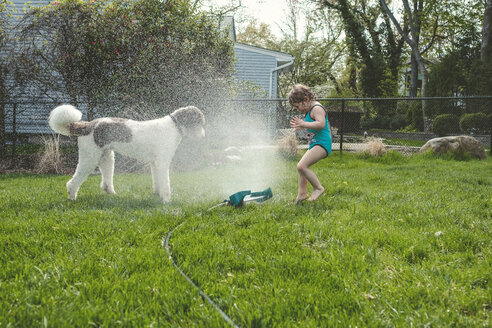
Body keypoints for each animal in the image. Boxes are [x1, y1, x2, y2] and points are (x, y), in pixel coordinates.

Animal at [48, 105, 206, 202]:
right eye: (199, 122)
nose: (203, 136)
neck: (174, 126)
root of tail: (87, 125)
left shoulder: (155, 164)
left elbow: (158, 182)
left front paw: (158, 195)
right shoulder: (162, 163)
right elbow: (165, 184)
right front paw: (166, 200)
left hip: (107, 157)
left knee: (106, 182)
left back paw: (112, 194)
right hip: (90, 158)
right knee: (73, 182)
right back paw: (72, 197)